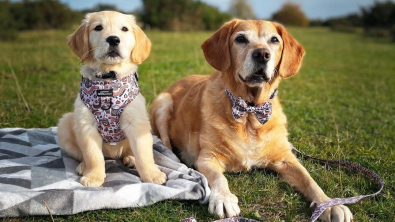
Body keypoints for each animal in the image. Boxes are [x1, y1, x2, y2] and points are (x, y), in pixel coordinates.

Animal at [56, 10, 166, 187]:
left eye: (124, 29)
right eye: (98, 28)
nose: (113, 39)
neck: (108, 79)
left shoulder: (137, 122)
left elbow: (143, 153)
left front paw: (152, 174)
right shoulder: (86, 125)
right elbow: (93, 156)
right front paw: (93, 176)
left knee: (130, 151)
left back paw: (130, 158)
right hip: (65, 123)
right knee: (85, 155)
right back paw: (83, 167)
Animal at [150, 20, 354, 221]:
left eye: (274, 40)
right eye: (240, 39)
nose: (262, 54)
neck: (250, 113)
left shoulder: (286, 159)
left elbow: (309, 180)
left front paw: (329, 204)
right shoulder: (208, 157)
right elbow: (219, 178)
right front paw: (224, 198)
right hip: (163, 102)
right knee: (165, 146)